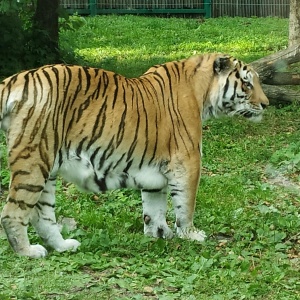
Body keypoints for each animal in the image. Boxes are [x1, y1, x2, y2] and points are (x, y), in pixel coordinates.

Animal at [0, 53, 268, 258]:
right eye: (247, 84)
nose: (266, 104)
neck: (202, 93)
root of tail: (15, 79)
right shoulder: (187, 162)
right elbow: (186, 205)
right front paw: (190, 235)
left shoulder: (155, 169)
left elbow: (154, 207)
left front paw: (159, 235)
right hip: (34, 161)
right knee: (12, 213)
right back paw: (27, 252)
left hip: (48, 170)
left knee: (41, 216)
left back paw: (63, 246)